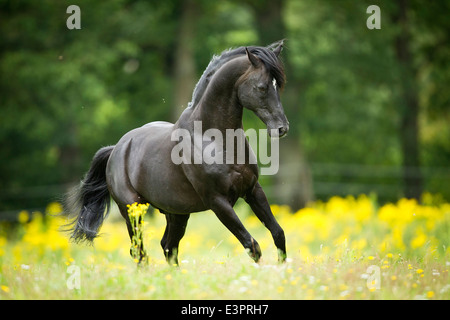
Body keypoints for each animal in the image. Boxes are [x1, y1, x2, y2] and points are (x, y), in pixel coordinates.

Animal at [66, 40, 290, 264]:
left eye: (278, 86)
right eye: (261, 87)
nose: (282, 128)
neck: (213, 139)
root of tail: (116, 149)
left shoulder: (253, 191)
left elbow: (278, 233)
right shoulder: (218, 202)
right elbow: (252, 245)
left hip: (177, 213)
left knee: (168, 247)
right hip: (132, 211)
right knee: (139, 251)